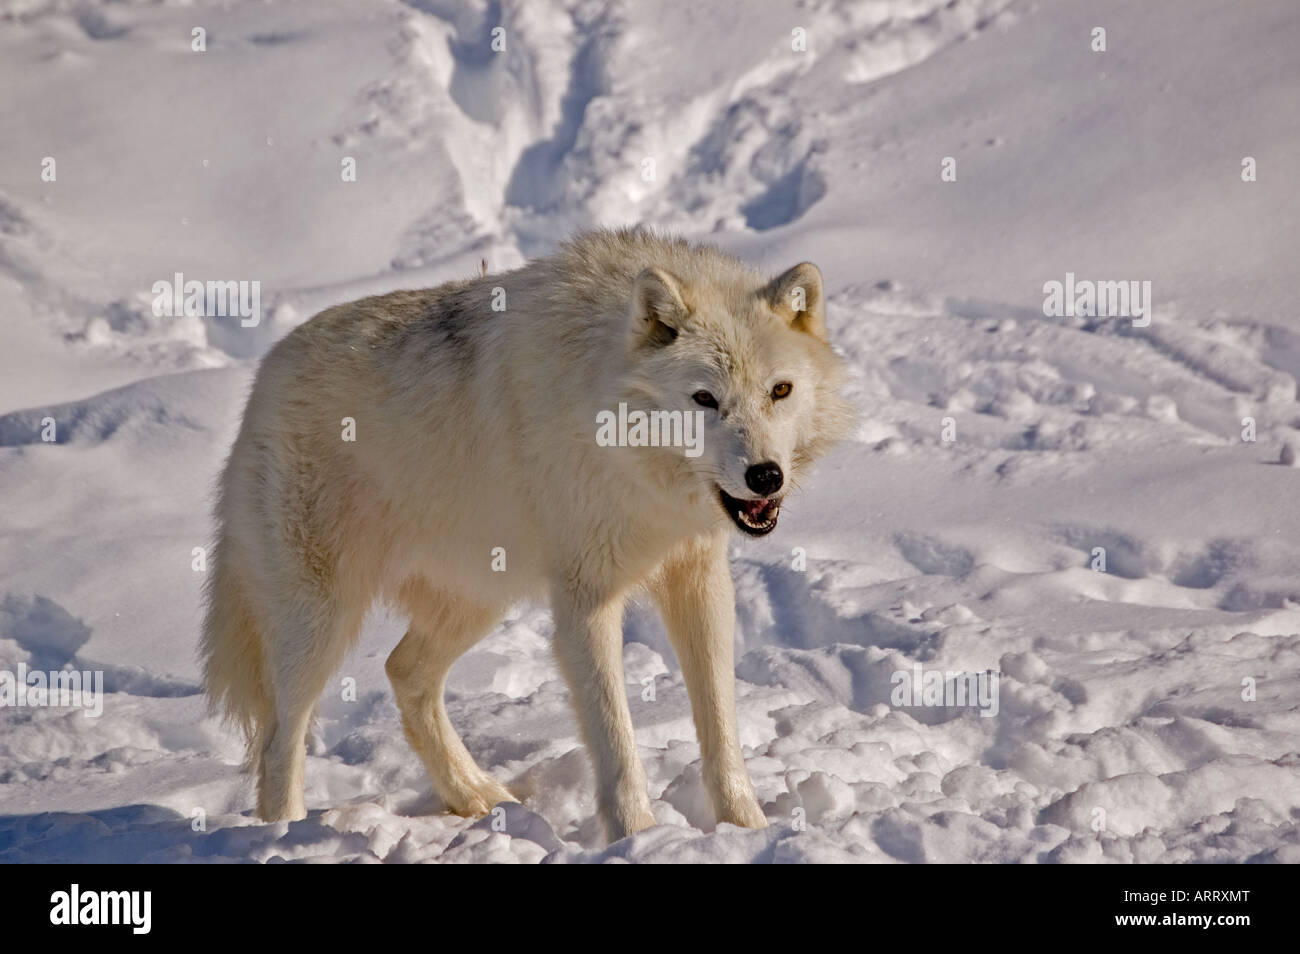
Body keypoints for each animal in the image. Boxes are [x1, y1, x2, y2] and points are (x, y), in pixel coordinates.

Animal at [200, 227, 852, 842]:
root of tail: (264, 379)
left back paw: (477, 796)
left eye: (780, 391)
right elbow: (617, 744)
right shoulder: (587, 601)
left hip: (478, 600)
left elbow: (721, 729)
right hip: (321, 622)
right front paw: (639, 838)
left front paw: (747, 830)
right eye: (704, 399)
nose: (765, 475)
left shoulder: (699, 579)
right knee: (280, 740)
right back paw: (284, 831)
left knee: (403, 675)